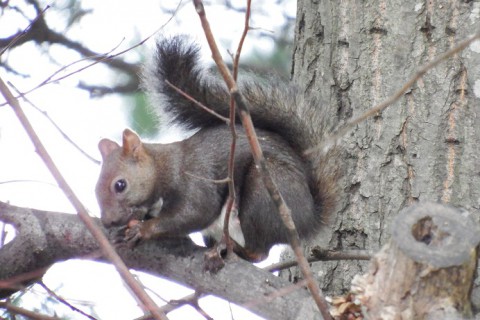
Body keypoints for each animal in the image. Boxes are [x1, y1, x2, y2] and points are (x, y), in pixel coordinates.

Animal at [94, 35, 338, 262]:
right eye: (95, 190)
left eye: (120, 185)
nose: (108, 221)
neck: (162, 166)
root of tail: (309, 218)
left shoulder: (194, 180)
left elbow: (196, 211)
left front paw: (144, 229)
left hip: (265, 194)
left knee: (259, 252)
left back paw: (235, 248)